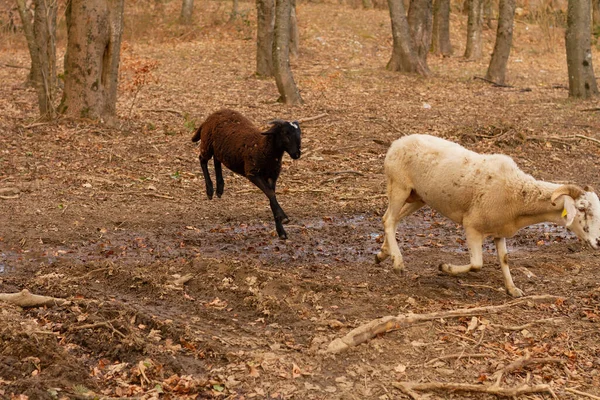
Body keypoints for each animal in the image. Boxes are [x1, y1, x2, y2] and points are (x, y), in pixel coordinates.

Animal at [195, 108, 302, 238]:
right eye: (285, 133)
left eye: (299, 134)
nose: (297, 154)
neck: (263, 147)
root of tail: (214, 114)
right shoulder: (252, 173)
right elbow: (270, 194)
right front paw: (284, 218)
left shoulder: (272, 176)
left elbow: (271, 195)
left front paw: (281, 230)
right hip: (207, 143)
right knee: (202, 160)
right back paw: (210, 190)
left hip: (219, 148)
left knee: (217, 160)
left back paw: (220, 188)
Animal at [376, 134, 600, 296]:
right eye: (581, 209)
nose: (598, 241)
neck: (518, 196)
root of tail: (396, 143)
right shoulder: (472, 226)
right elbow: (477, 264)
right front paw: (445, 267)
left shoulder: (500, 231)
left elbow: (505, 259)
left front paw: (512, 289)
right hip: (399, 186)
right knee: (388, 219)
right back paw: (398, 263)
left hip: (418, 196)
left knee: (394, 219)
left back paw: (384, 254)